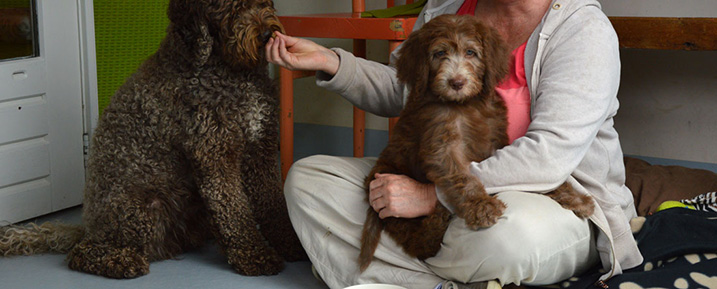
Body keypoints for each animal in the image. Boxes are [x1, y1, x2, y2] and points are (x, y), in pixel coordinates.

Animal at [0, 0, 304, 278]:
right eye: (226, 6)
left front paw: (292, 244)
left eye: (260, 2)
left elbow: (272, 202)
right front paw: (255, 255)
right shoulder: (214, 153)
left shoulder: (261, 147)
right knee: (83, 253)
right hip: (141, 209)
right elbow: (233, 210)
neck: (231, 71)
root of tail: (88, 227)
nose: (266, 33)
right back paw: (122, 262)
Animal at [356, 14, 592, 272]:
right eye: (439, 53)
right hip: (390, 181)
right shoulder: (443, 143)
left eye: (471, 52)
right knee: (416, 242)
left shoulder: (494, 140)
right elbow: (462, 177)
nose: (456, 82)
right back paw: (438, 218)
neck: (466, 104)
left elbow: (527, 173)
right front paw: (481, 206)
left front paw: (573, 197)